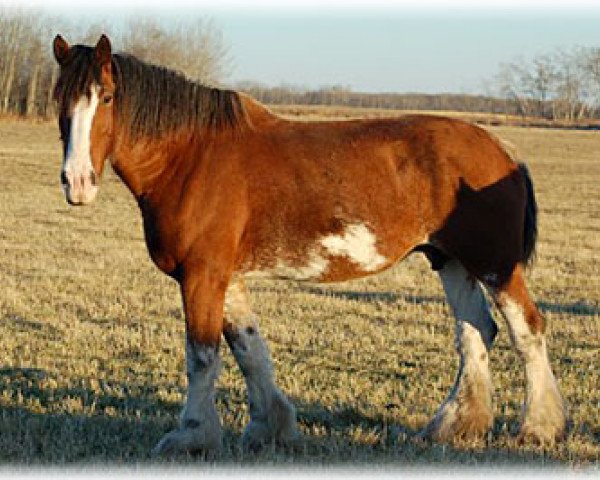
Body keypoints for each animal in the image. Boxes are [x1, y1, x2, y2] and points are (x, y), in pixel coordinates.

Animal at [51, 33, 568, 454]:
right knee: (476, 332)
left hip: (495, 263)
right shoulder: (227, 277)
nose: (77, 182)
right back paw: (451, 427)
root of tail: (504, 153)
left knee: (526, 330)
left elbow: (202, 356)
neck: (191, 156)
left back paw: (538, 429)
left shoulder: (202, 275)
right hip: (452, 261)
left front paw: (192, 436)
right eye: (60, 100)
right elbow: (248, 349)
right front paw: (270, 428)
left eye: (107, 97)